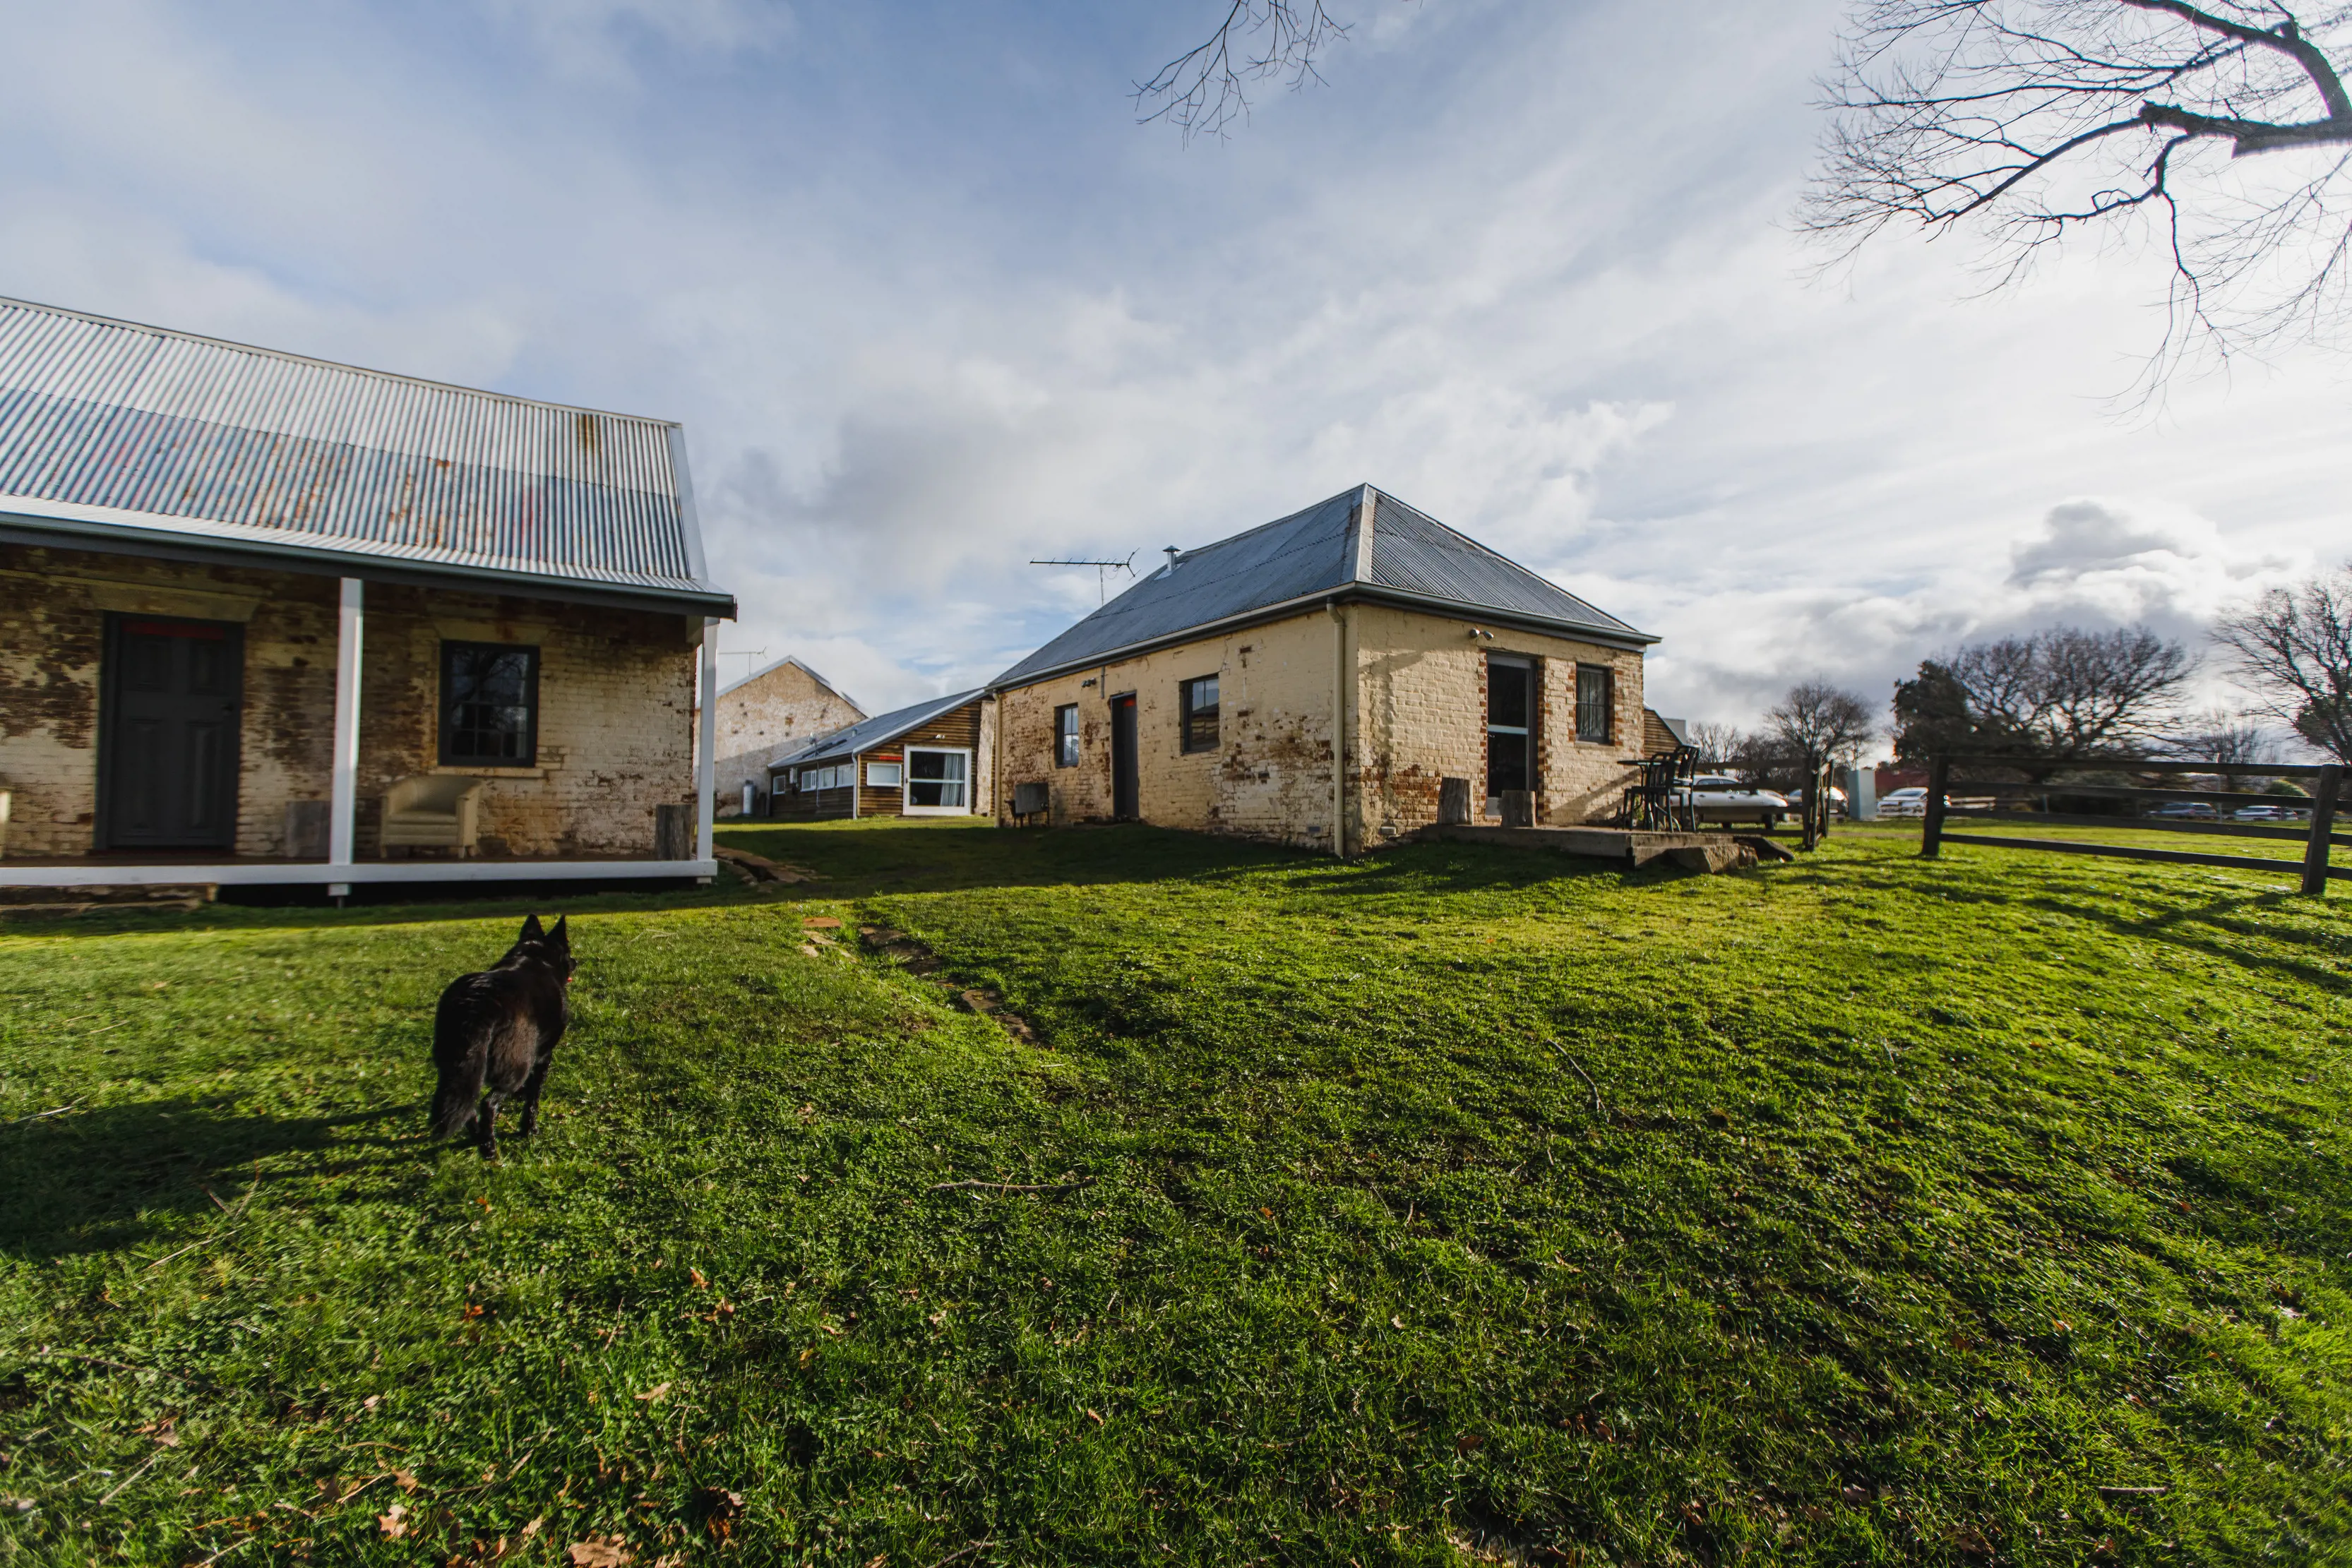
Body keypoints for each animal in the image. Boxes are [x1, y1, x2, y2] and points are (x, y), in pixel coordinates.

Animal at [425, 911, 571, 1161]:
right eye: (569, 952)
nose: (576, 962)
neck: (536, 957)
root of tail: (480, 1004)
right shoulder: (543, 1055)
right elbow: (533, 1098)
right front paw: (529, 1129)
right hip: (516, 1065)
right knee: (487, 1104)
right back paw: (489, 1148)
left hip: (458, 1068)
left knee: (468, 1106)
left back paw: (478, 1139)